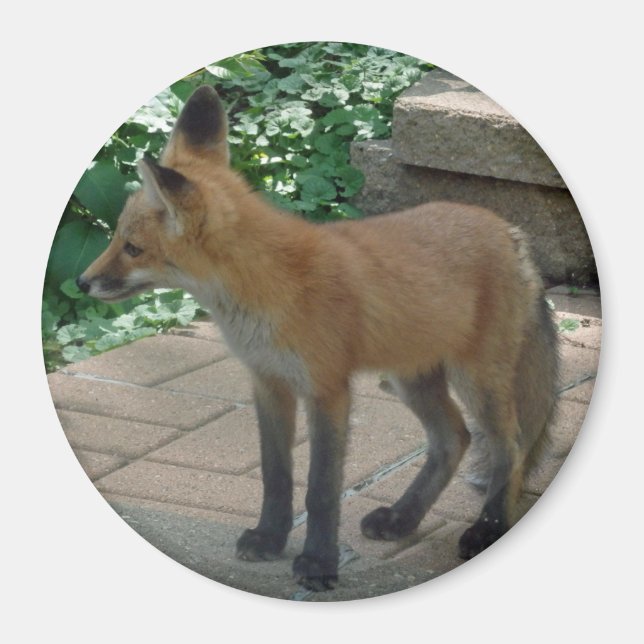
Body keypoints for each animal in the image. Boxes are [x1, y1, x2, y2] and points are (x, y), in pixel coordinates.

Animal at [77, 85, 559, 592]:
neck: (265, 289)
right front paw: (270, 539)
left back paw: (487, 528)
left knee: (511, 448)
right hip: (412, 377)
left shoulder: (327, 389)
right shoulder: (268, 383)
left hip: (476, 378)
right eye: (117, 240)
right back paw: (402, 519)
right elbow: (277, 477)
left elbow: (321, 489)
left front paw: (317, 564)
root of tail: (511, 232)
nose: (81, 283)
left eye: (132, 248)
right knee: (454, 439)